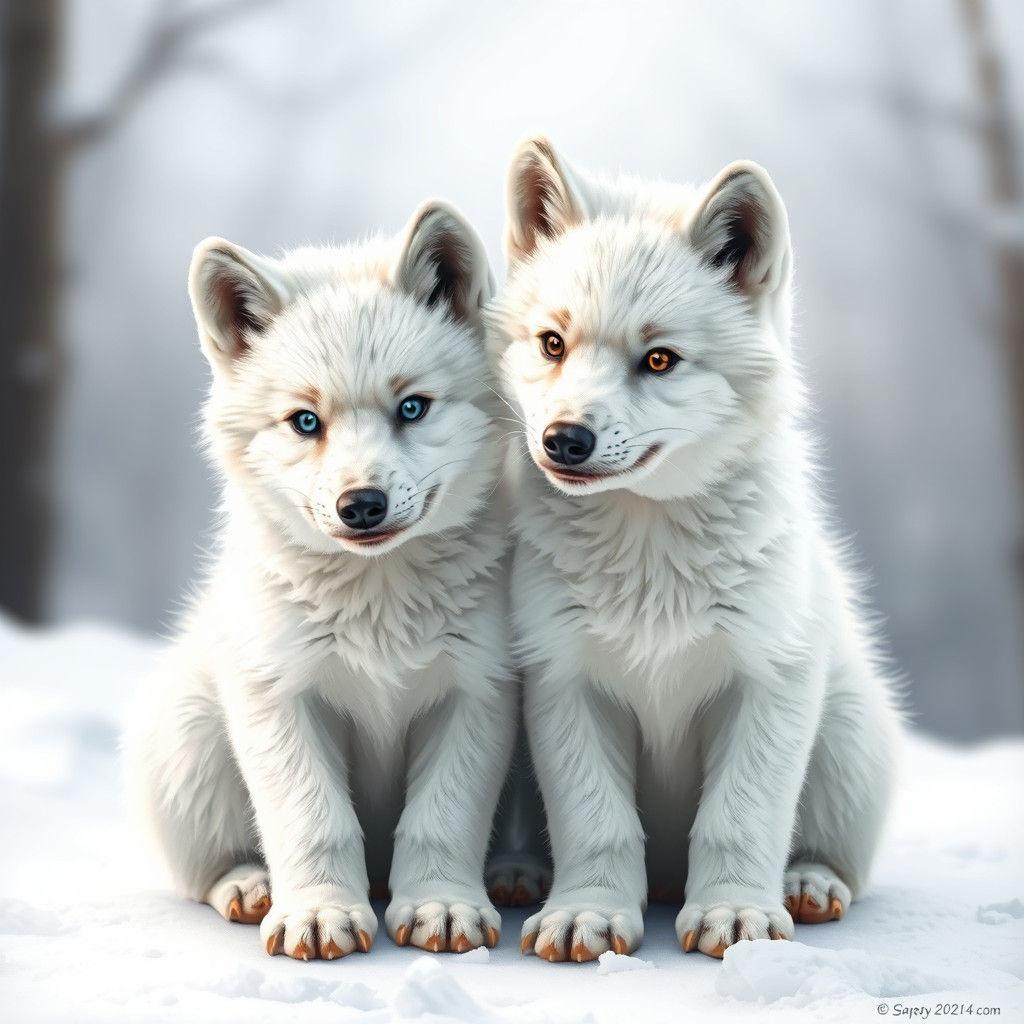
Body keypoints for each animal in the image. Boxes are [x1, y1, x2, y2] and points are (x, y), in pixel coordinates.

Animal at [125, 200, 518, 959]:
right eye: (305, 421)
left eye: (412, 407)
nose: (360, 504)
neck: (378, 599)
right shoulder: (281, 699)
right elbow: (313, 821)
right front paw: (319, 915)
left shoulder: (475, 694)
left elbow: (441, 819)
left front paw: (441, 906)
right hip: (196, 739)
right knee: (207, 869)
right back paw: (250, 887)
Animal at [491, 137, 902, 961]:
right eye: (553, 344)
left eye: (658, 360)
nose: (563, 439)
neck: (649, 547)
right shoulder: (566, 685)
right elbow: (596, 823)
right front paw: (587, 914)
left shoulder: (767, 686)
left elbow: (738, 819)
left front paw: (735, 916)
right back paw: (520, 876)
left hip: (843, 727)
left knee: (827, 848)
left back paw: (807, 883)